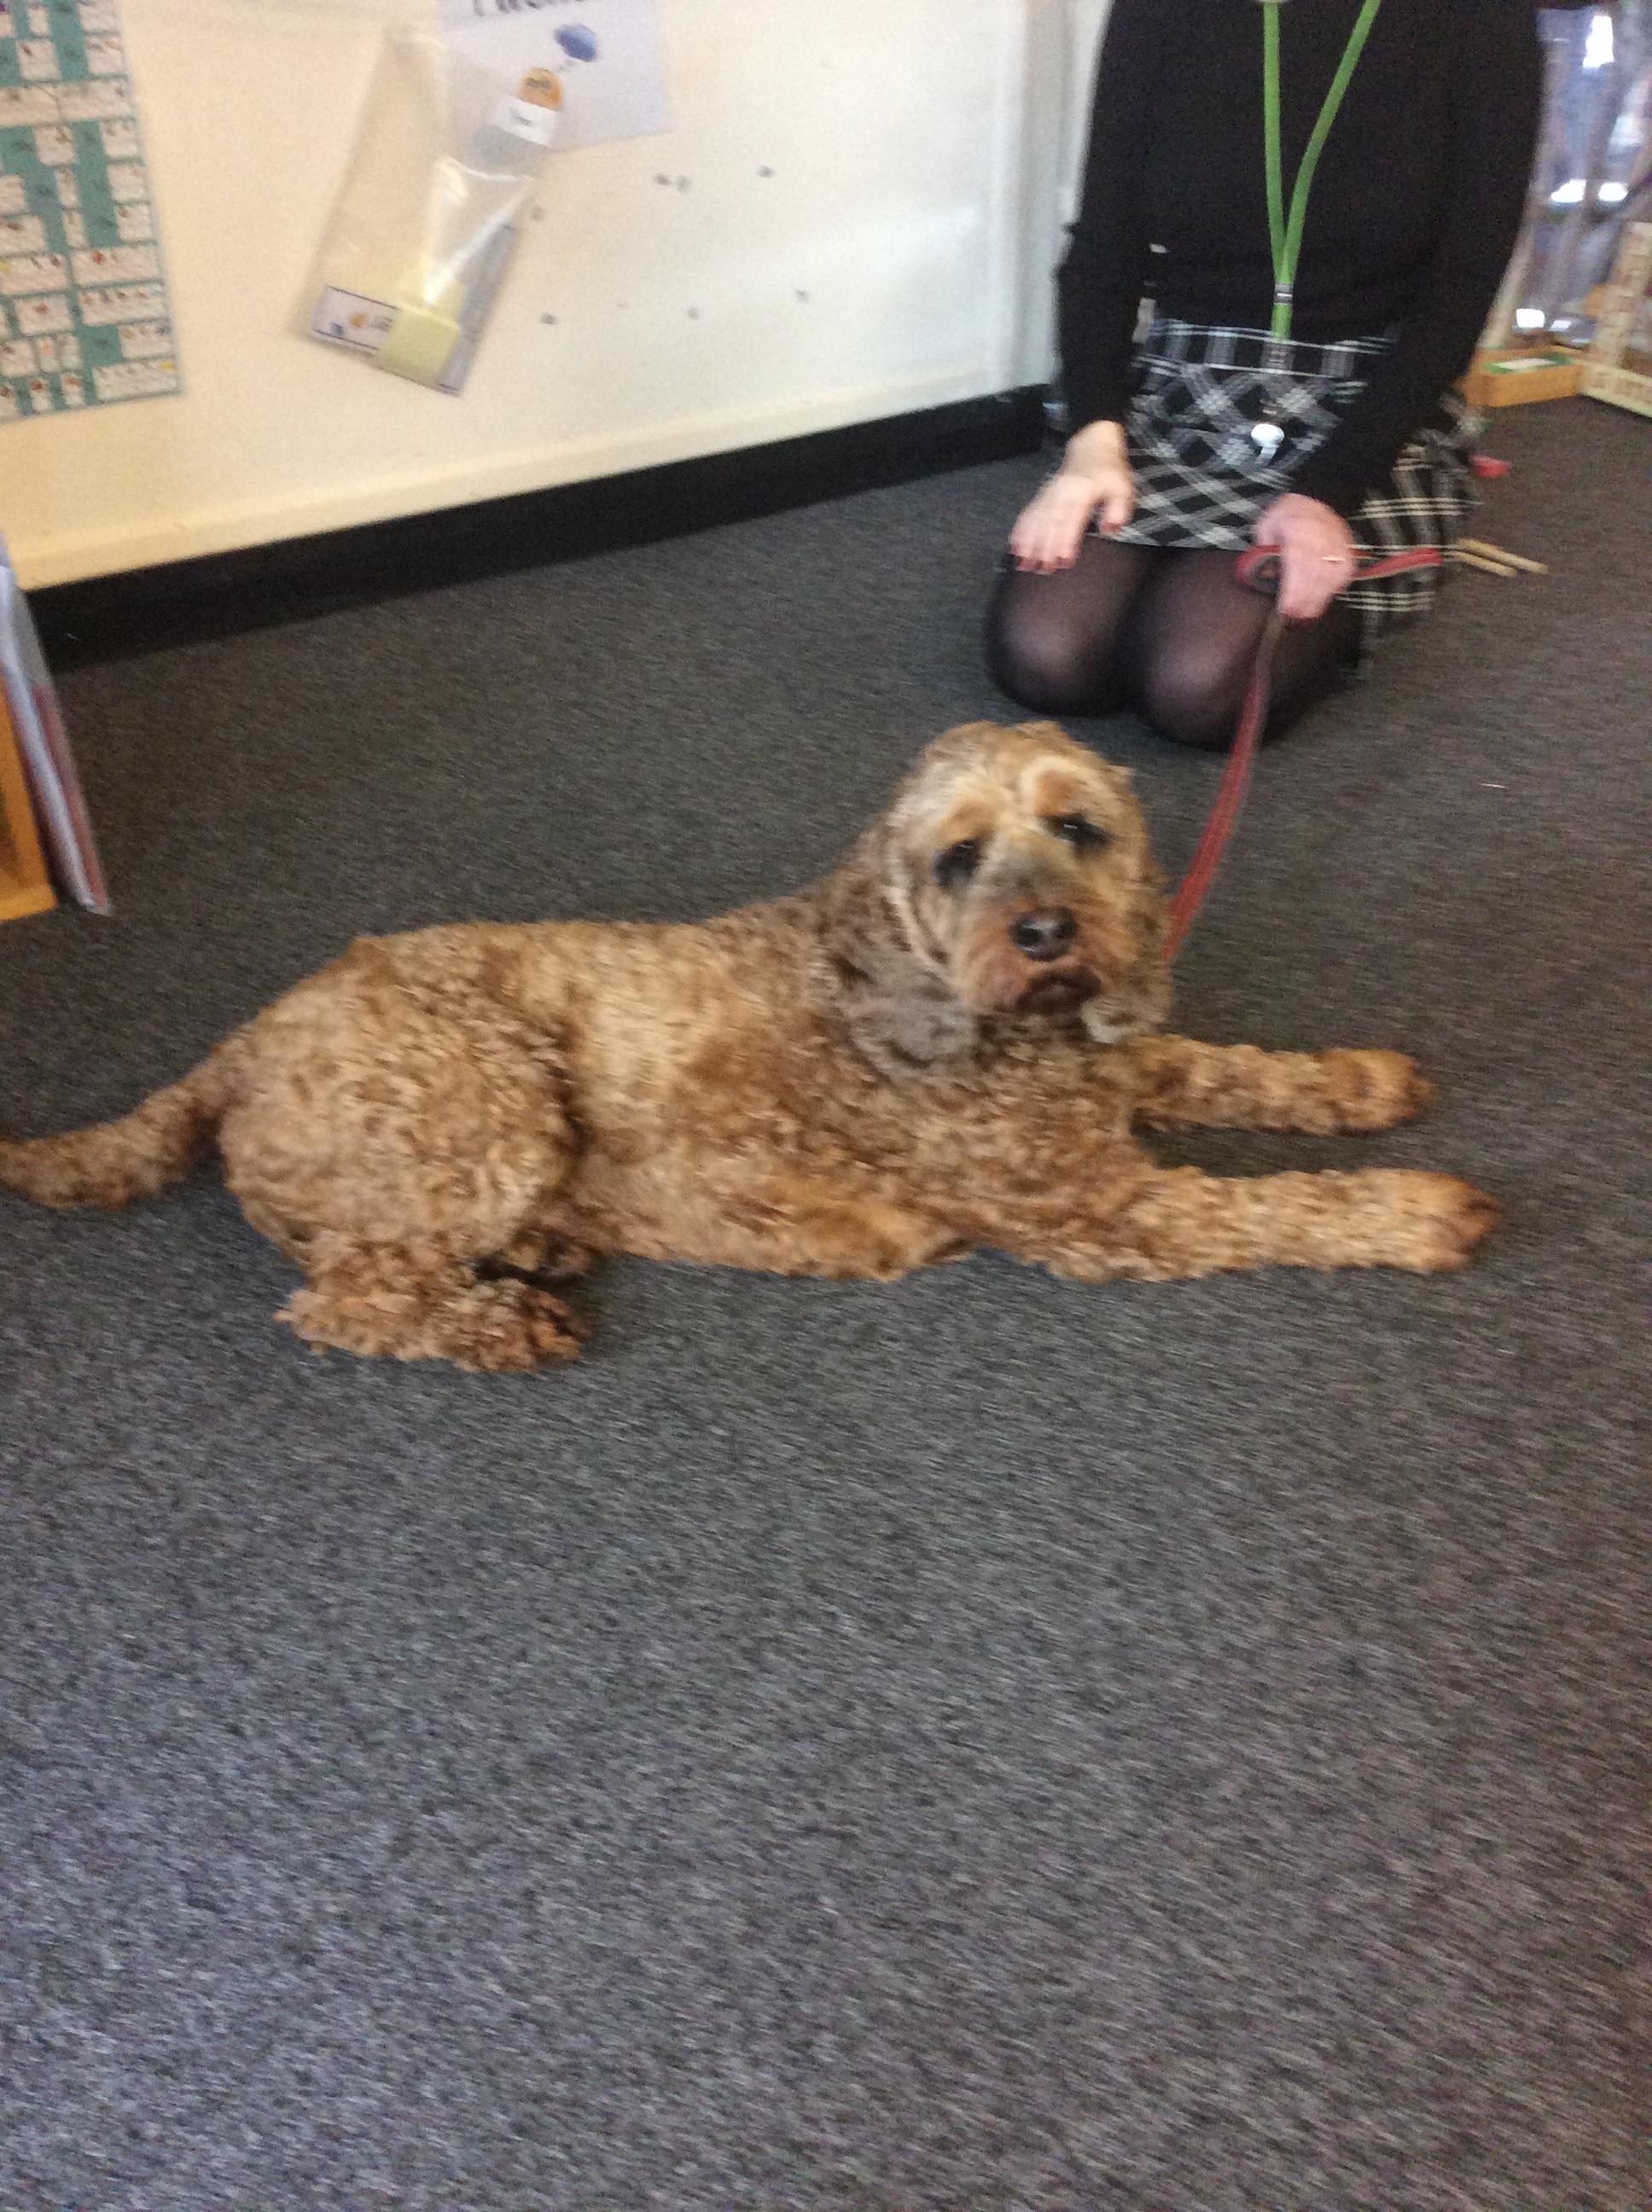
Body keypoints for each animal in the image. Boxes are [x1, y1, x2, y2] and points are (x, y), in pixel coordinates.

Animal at [0, 721, 1497, 1371]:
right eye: (960, 858)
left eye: (1079, 828)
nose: (1050, 932)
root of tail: (235, 1047)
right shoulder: (1101, 1211)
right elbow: (1275, 1209)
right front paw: (1411, 1210)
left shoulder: (1123, 1071)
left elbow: (1239, 1070)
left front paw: (1356, 1081)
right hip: (484, 1105)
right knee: (346, 1297)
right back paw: (500, 1319)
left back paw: (538, 1254)